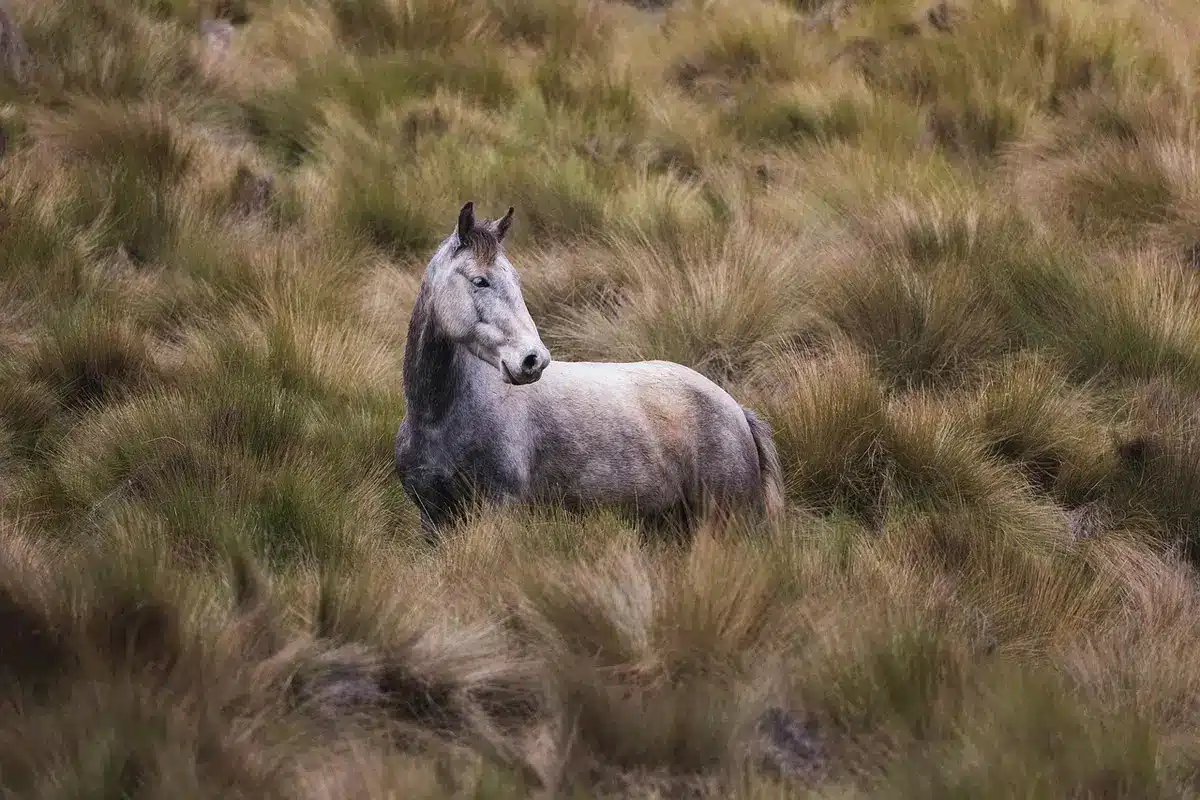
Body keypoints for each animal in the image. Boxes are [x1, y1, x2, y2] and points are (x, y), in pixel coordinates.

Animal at [394, 201, 785, 540]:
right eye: (480, 281)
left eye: (516, 281)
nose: (533, 360)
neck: (440, 418)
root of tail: (736, 409)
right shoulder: (432, 518)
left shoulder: (499, 510)